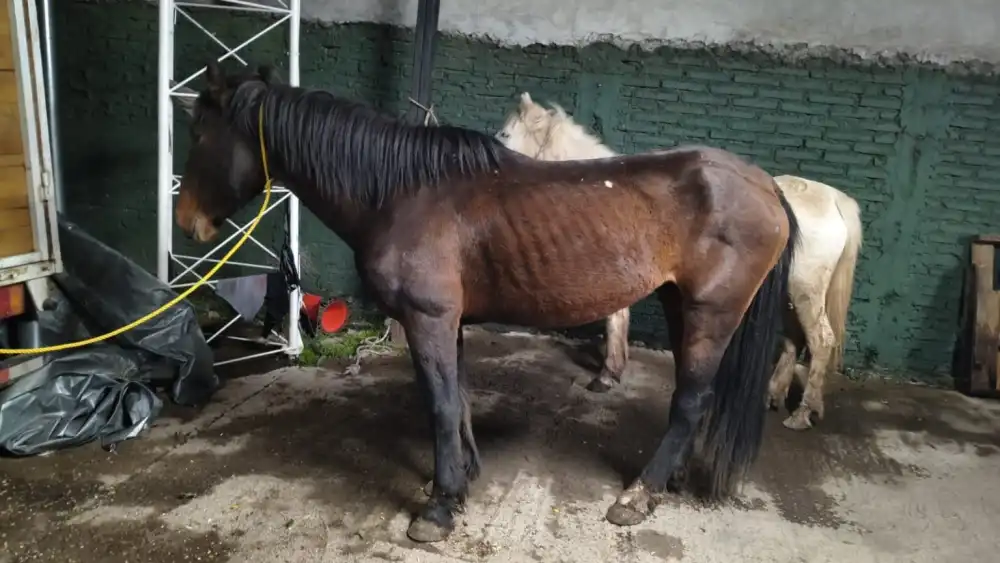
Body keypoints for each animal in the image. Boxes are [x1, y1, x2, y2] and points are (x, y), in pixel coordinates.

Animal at [172, 62, 799, 543]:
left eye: (201, 134)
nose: (186, 221)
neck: (402, 194)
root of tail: (765, 185)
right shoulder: (447, 322)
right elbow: (460, 401)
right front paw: (461, 478)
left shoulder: (427, 320)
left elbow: (439, 405)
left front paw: (439, 507)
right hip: (678, 304)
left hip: (711, 313)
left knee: (690, 403)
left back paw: (639, 494)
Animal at [497, 92, 864, 431]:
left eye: (505, 133)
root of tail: (834, 199)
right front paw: (612, 372)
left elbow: (614, 320)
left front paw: (606, 375)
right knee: (794, 341)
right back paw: (777, 397)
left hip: (804, 291)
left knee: (821, 341)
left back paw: (801, 413)